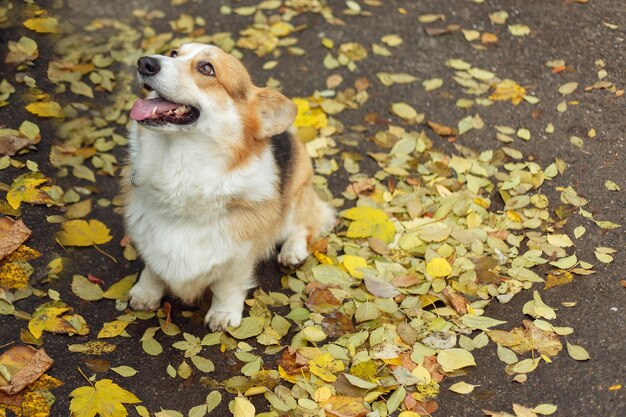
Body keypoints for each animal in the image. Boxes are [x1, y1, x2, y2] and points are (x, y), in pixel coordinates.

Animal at [123, 44, 334, 330]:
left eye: (206, 68)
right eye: (174, 53)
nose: (144, 63)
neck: (181, 173)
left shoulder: (239, 257)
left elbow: (227, 287)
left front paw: (222, 315)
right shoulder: (148, 238)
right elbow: (153, 269)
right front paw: (145, 294)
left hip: (295, 194)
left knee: (304, 224)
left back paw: (292, 251)